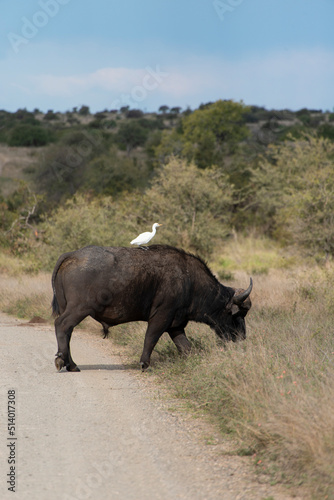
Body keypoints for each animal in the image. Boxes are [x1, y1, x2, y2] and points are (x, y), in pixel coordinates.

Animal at [51, 246, 252, 372]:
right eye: (237, 314)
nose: (242, 337)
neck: (190, 281)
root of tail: (72, 255)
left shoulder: (176, 325)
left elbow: (186, 347)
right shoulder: (161, 317)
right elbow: (151, 338)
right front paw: (145, 364)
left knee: (67, 332)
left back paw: (71, 363)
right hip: (79, 309)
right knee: (62, 325)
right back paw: (64, 362)